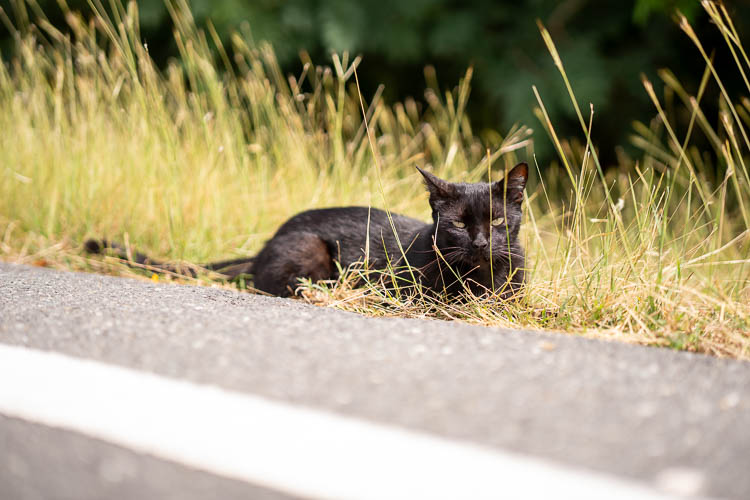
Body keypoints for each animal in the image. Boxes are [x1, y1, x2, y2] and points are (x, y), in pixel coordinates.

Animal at [86, 163, 528, 296]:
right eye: (458, 223)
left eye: (497, 221)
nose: (481, 242)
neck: (481, 275)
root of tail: (268, 241)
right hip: (311, 250)